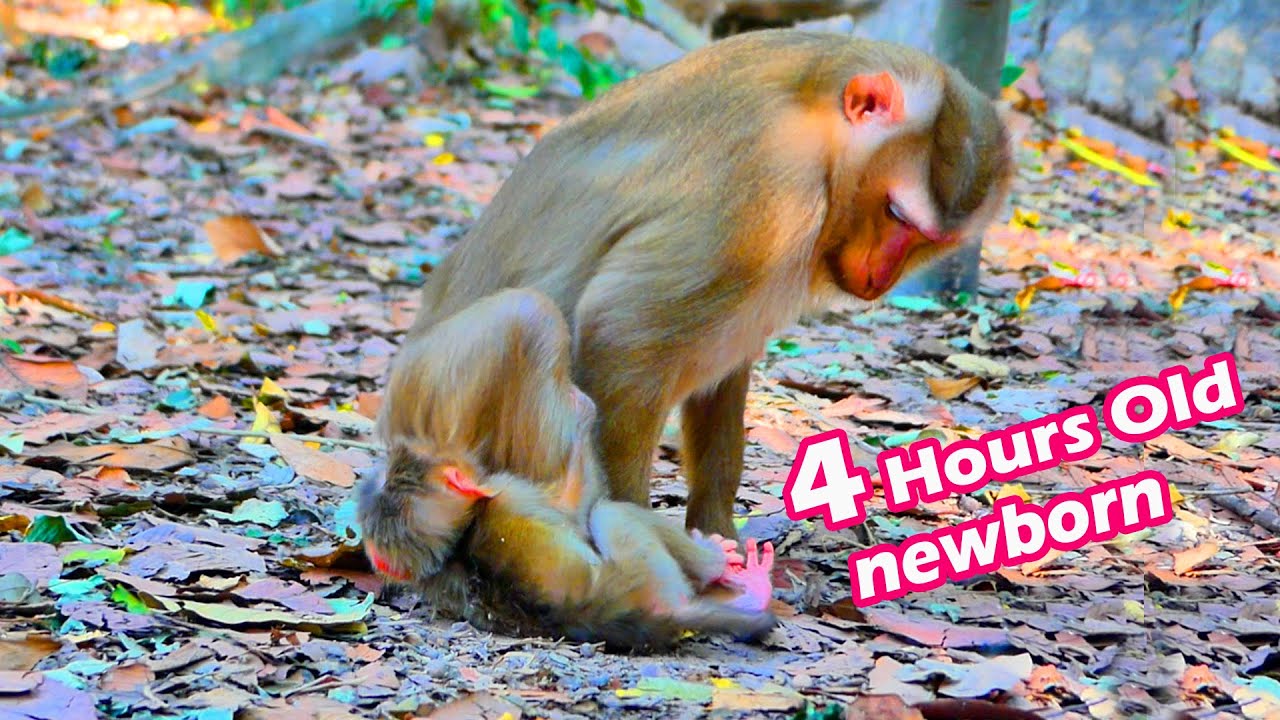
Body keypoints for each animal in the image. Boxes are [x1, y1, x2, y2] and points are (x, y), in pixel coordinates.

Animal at [357, 288, 777, 651]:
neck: (457, 543)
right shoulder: (509, 492)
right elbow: (574, 503)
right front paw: (580, 404)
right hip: (649, 573)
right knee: (613, 514)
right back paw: (728, 572)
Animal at [402, 30, 1014, 539]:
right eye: (895, 213)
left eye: (925, 239)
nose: (880, 279)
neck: (818, 121)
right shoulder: (771, 185)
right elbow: (621, 330)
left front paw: (717, 530)